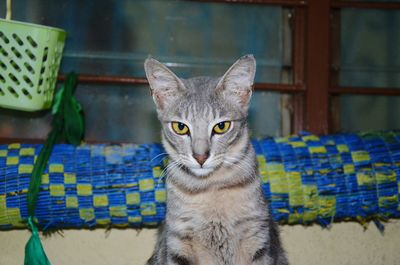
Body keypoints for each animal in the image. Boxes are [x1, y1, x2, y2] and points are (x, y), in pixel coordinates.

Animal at [144, 54, 288, 264]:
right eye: (180, 127)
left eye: (221, 126)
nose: (200, 156)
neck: (211, 189)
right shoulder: (177, 241)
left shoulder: (257, 238)